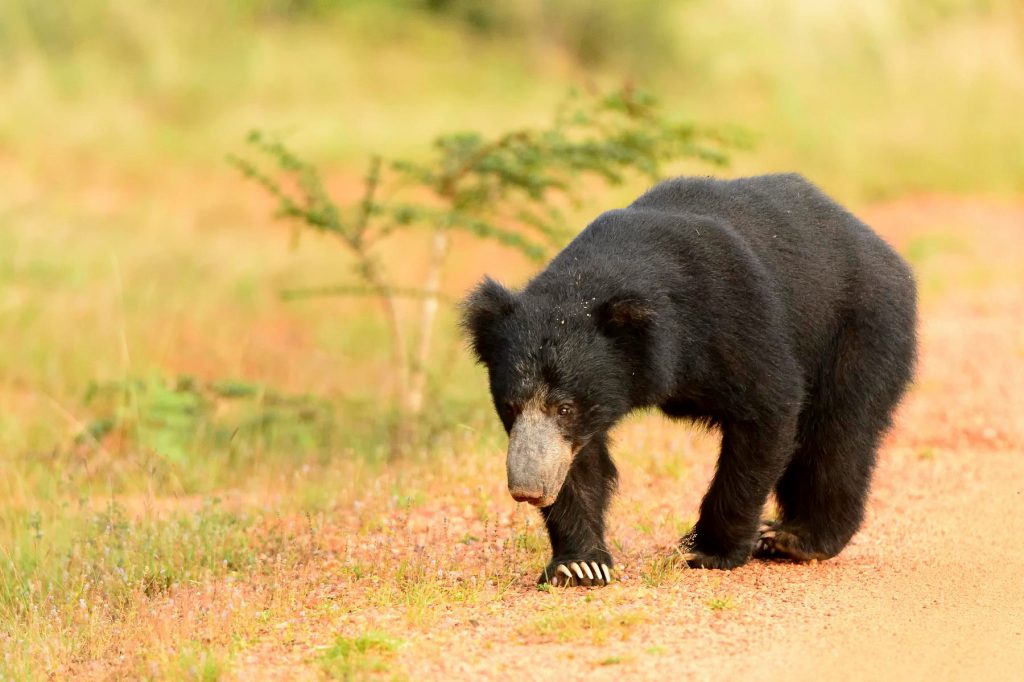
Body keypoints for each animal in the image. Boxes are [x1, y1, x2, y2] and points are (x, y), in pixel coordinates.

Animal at [460, 174, 917, 585]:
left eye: (565, 407)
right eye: (510, 407)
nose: (528, 489)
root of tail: (882, 248)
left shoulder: (731, 317)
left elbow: (769, 406)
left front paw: (708, 550)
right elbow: (579, 463)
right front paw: (580, 565)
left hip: (859, 329)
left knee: (837, 435)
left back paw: (797, 538)